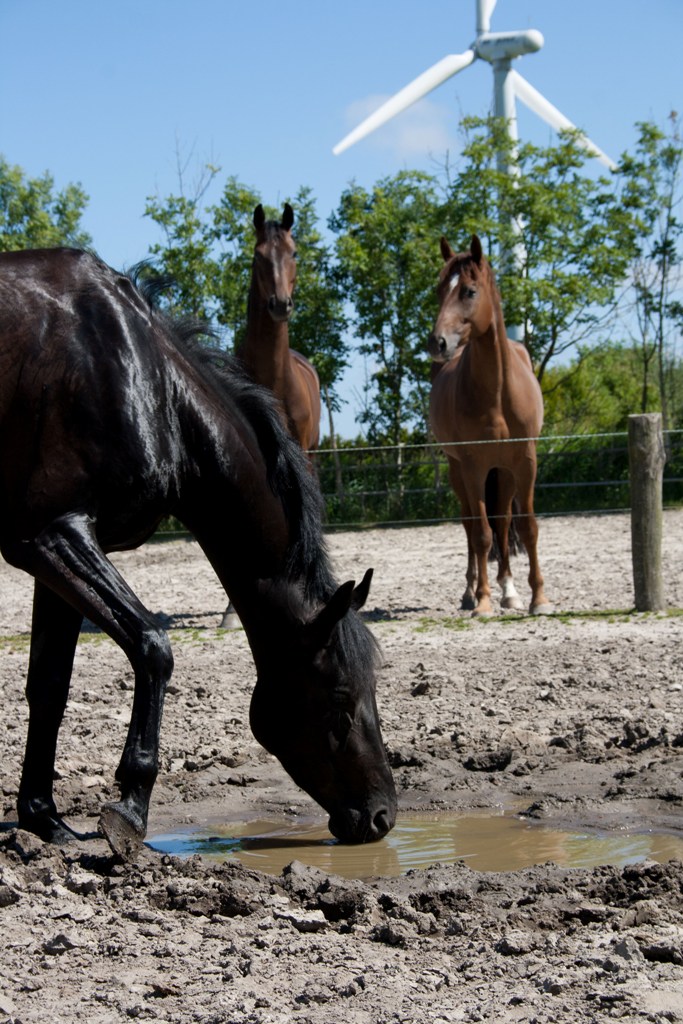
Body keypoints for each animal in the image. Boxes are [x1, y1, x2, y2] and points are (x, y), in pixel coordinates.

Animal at [0, 247, 395, 856]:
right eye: (340, 697)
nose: (382, 817)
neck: (143, 380)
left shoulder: (54, 561)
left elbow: (49, 687)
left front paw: (45, 820)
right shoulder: (52, 537)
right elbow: (152, 646)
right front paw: (128, 810)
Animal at [430, 233, 552, 614]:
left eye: (469, 291)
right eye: (440, 289)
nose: (437, 342)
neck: (497, 393)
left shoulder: (525, 462)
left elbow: (526, 527)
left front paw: (538, 598)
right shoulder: (472, 466)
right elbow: (482, 534)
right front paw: (482, 600)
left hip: (505, 471)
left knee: (503, 520)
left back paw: (509, 590)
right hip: (459, 471)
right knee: (472, 525)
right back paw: (471, 592)